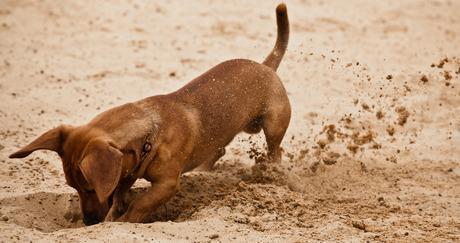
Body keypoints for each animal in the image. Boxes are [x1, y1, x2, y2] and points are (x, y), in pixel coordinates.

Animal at [9, 3, 292, 224]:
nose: (89, 221)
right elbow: (121, 191)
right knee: (218, 150)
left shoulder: (166, 184)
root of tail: (266, 66)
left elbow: (140, 204)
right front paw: (116, 210)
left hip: (273, 125)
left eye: (90, 187)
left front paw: (123, 221)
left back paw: (271, 171)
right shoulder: (126, 170)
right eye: (72, 187)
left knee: (275, 150)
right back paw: (204, 171)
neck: (151, 130)